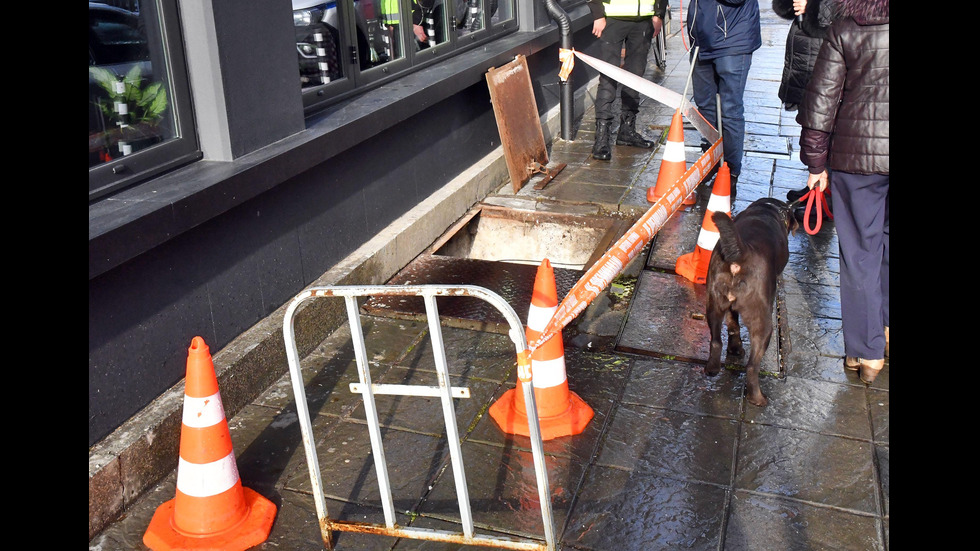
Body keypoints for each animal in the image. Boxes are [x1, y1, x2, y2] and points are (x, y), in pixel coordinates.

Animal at [704, 198, 796, 406]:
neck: (769, 209)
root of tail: (742, 252)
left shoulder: (729, 307)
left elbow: (733, 325)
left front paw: (735, 349)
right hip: (764, 326)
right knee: (752, 366)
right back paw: (757, 398)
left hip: (714, 304)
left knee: (716, 341)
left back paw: (712, 368)